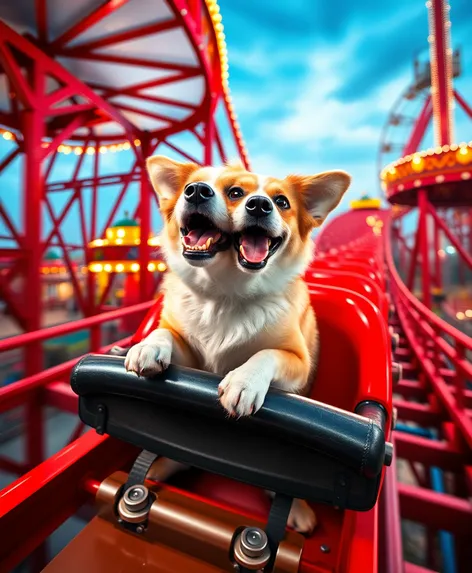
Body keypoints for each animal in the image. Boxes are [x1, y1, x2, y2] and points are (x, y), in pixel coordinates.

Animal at [125, 155, 350, 532]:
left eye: (282, 202)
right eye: (236, 193)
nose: (258, 205)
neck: (226, 294)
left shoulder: (298, 363)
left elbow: (266, 354)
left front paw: (243, 382)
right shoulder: (191, 359)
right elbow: (166, 333)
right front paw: (147, 346)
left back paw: (297, 510)